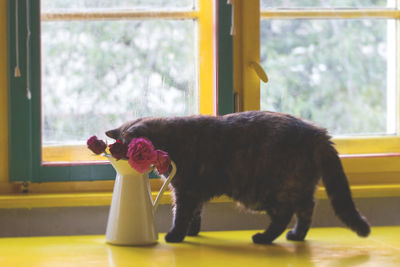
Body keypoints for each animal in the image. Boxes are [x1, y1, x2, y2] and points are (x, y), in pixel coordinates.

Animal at [104, 111, 370, 245]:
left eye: (125, 147)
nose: (114, 155)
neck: (172, 140)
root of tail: (317, 133)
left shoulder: (185, 190)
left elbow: (181, 215)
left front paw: (176, 236)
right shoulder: (193, 192)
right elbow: (195, 214)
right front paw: (192, 232)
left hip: (265, 192)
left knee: (285, 214)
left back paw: (264, 238)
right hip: (298, 186)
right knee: (306, 210)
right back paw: (296, 236)